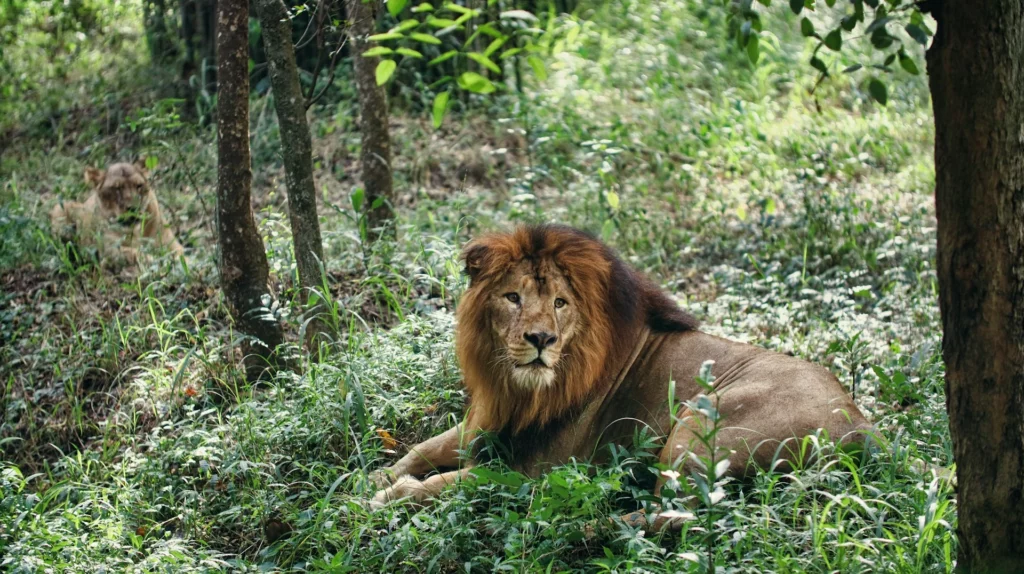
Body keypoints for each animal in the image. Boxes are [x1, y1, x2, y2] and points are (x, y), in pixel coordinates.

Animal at [49, 158, 184, 261]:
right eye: (116, 188)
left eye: (139, 186)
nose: (133, 208)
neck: (134, 230)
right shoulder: (109, 249)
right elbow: (138, 254)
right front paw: (162, 261)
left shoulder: (170, 242)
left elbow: (182, 256)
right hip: (60, 207)